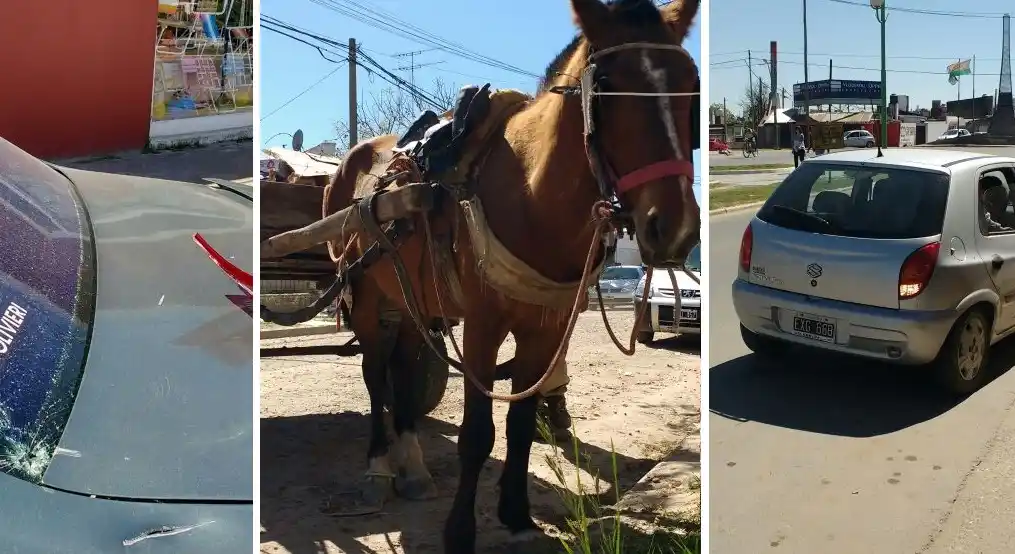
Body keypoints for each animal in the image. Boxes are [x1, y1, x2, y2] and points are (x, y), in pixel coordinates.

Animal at [316, 0, 699, 551]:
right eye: (605, 86)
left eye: (690, 85)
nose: (674, 227)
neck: (529, 194)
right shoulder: (483, 326)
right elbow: (478, 434)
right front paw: (460, 530)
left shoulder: (546, 328)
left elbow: (520, 423)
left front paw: (516, 513)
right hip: (365, 296)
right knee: (374, 376)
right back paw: (378, 470)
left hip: (412, 300)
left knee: (405, 369)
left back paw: (413, 467)